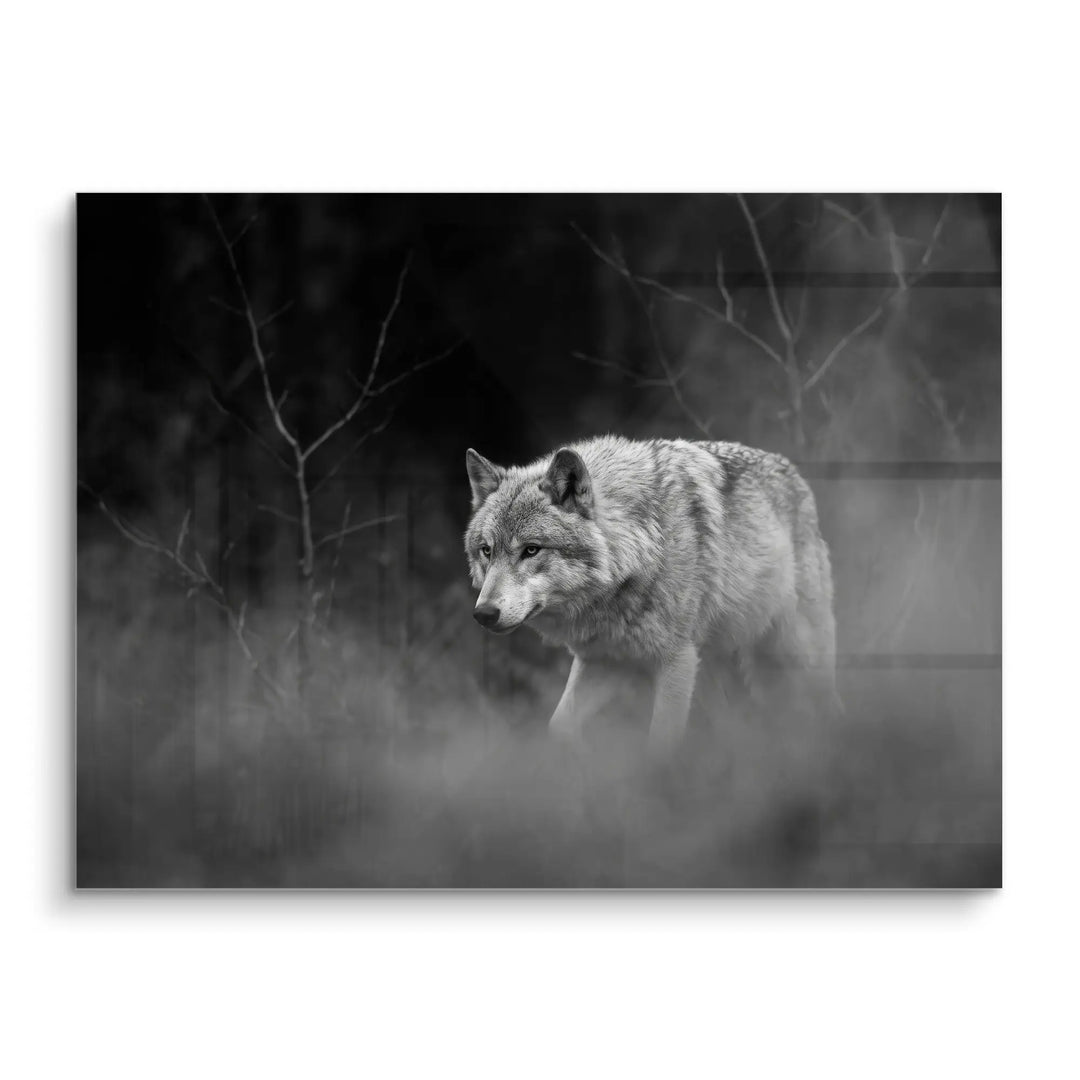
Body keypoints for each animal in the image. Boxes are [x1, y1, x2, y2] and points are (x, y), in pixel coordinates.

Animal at [464, 435, 838, 752]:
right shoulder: (603, 660)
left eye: (531, 550)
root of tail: (792, 470)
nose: (484, 614)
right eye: (486, 551)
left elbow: (661, 744)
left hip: (798, 653)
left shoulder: (676, 661)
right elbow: (559, 726)